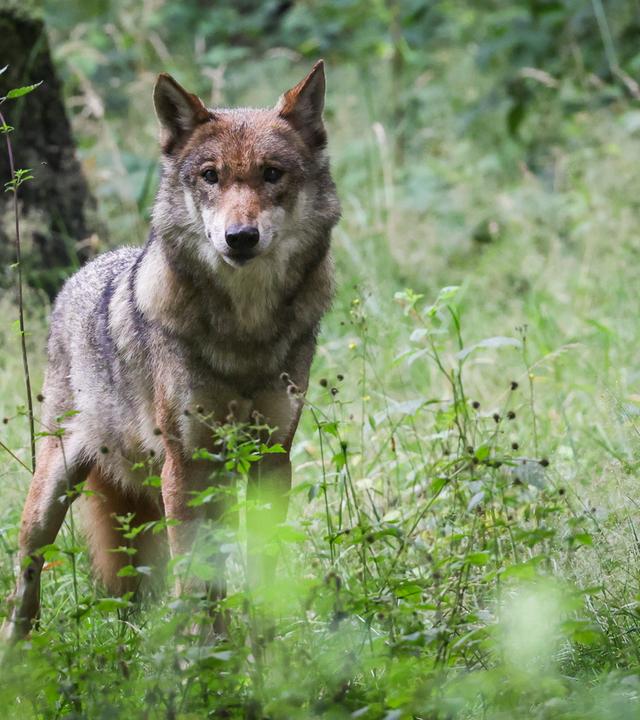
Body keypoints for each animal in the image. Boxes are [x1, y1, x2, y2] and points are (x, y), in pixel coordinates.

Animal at [2, 60, 340, 642]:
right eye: (210, 176)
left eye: (272, 174)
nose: (240, 237)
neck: (244, 331)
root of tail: (80, 275)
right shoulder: (185, 464)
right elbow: (193, 577)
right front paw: (199, 655)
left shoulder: (272, 458)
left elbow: (260, 569)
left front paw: (265, 651)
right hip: (51, 494)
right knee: (24, 582)